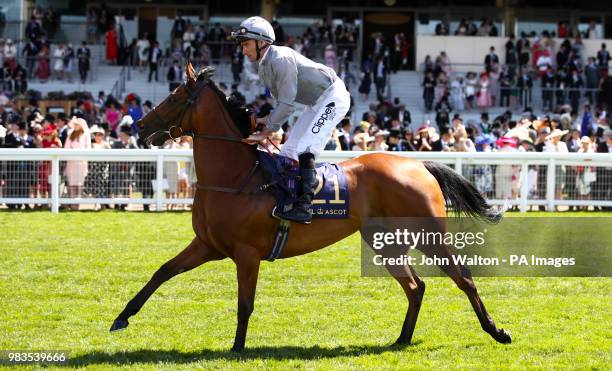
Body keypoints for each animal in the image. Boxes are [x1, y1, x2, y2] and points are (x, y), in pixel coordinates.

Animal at [110, 63, 512, 352]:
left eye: (175, 98)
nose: (140, 126)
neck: (236, 176)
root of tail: (418, 165)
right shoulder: (207, 245)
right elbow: (162, 272)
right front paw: (122, 318)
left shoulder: (246, 254)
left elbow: (245, 303)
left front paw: (236, 349)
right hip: (384, 241)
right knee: (415, 286)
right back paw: (401, 339)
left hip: (427, 233)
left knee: (462, 276)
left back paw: (496, 331)